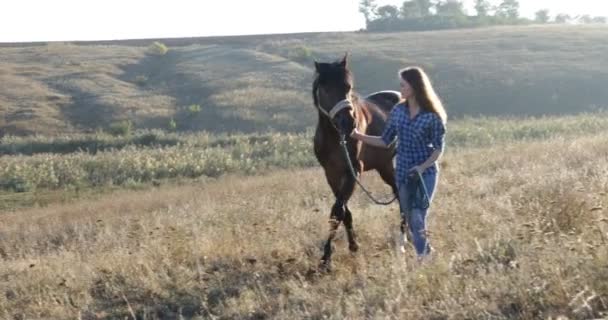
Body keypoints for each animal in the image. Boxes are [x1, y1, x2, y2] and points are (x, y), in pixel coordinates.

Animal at [314, 53, 404, 266]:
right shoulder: (332, 174)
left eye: (348, 86)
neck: (335, 137)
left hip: (386, 168)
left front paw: (326, 256)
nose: (348, 123)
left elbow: (336, 211)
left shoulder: (352, 171)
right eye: (325, 88)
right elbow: (343, 211)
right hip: (385, 165)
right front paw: (353, 245)